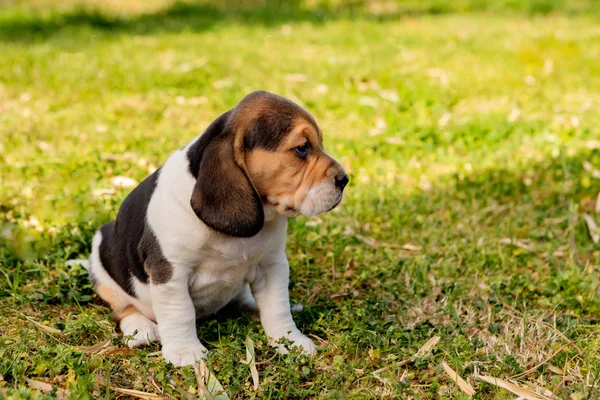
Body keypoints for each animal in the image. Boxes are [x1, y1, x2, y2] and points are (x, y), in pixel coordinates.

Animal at [87, 90, 350, 366]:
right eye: (301, 148)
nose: (344, 179)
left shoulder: (272, 264)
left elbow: (277, 307)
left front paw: (290, 341)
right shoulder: (170, 274)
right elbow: (180, 312)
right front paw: (185, 351)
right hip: (101, 267)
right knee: (123, 309)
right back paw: (141, 329)